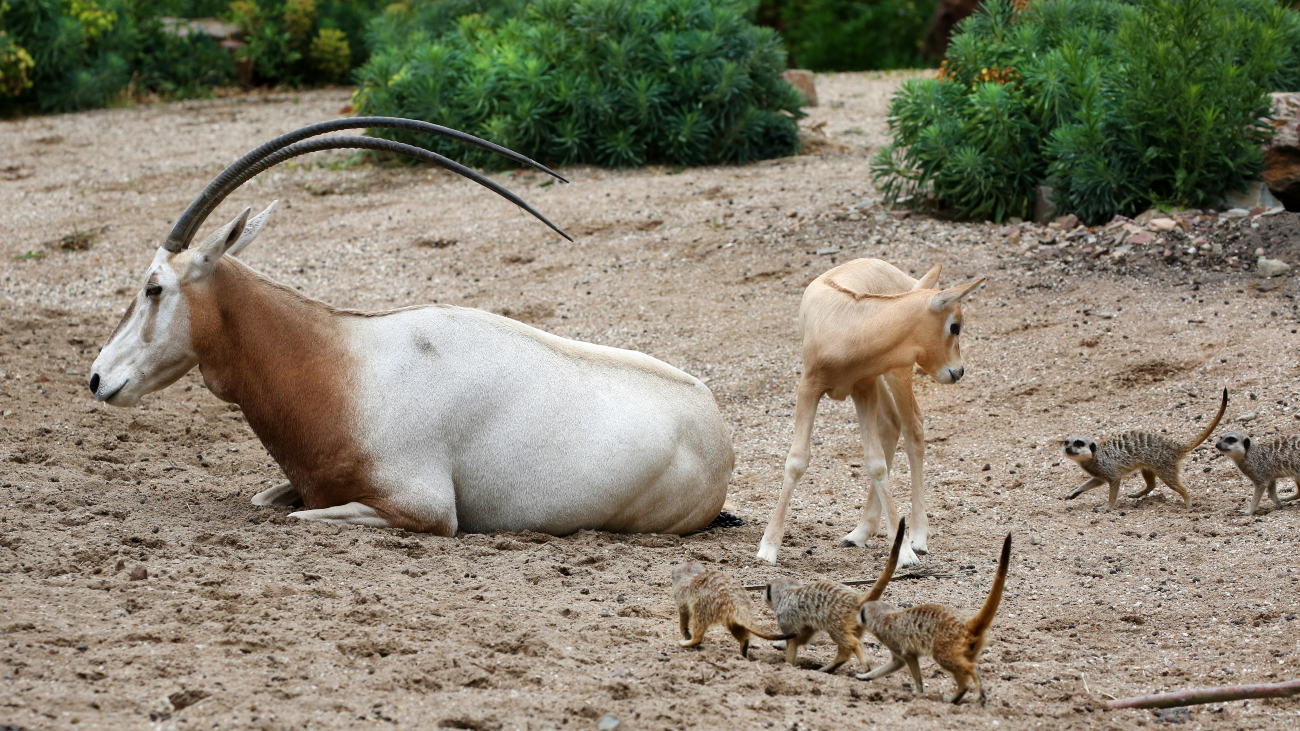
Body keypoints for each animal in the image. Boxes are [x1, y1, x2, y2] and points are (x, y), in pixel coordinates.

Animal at [92, 115, 738, 535]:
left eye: (153, 287)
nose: (97, 378)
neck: (337, 366)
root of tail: (716, 425)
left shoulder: (423, 507)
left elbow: (303, 515)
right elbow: (264, 499)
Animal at [754, 256, 982, 564]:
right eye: (955, 326)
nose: (958, 371)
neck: (850, 323)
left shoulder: (863, 387)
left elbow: (875, 463)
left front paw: (906, 552)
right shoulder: (811, 387)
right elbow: (798, 460)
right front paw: (768, 548)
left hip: (896, 371)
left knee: (913, 426)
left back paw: (918, 536)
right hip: (881, 378)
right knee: (893, 423)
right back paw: (859, 534)